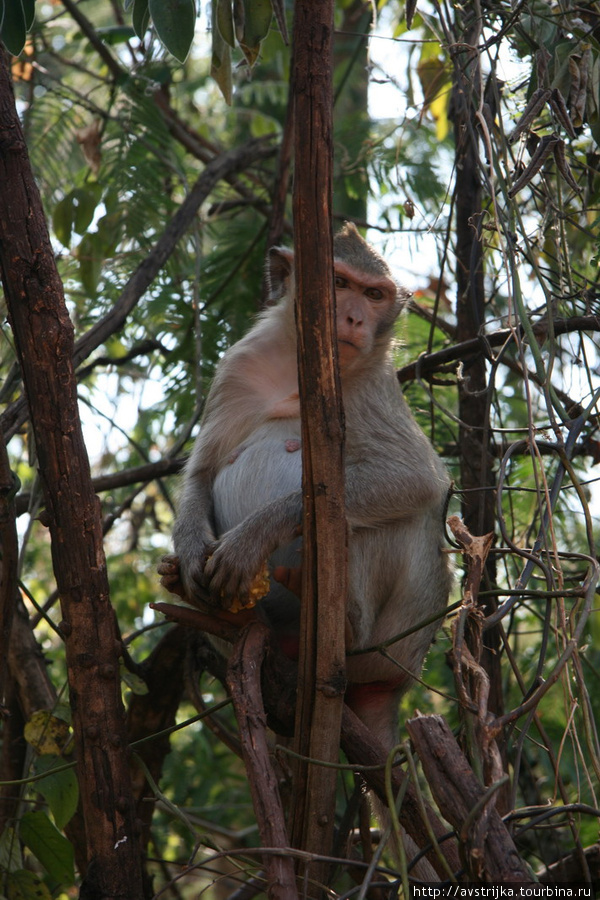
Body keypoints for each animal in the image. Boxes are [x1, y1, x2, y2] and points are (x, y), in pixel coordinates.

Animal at [171, 221, 452, 748]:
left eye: (374, 294)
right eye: (338, 283)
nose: (353, 317)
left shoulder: (371, 387)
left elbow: (414, 479)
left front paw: (251, 538)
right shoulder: (239, 365)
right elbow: (202, 472)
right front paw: (191, 548)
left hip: (399, 640)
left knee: (378, 518)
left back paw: (345, 626)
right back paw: (235, 618)